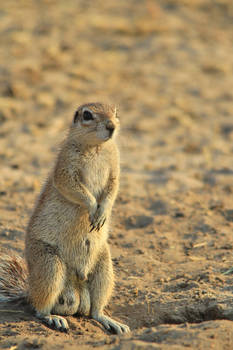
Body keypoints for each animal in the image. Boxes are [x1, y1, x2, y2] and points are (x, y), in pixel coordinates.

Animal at [0, 102, 129, 334]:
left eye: (116, 112)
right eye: (87, 115)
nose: (112, 126)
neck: (97, 148)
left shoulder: (115, 170)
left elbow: (113, 189)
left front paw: (103, 212)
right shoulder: (66, 168)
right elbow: (73, 188)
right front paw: (92, 207)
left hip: (104, 268)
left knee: (95, 311)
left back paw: (110, 321)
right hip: (50, 267)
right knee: (39, 309)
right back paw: (54, 318)